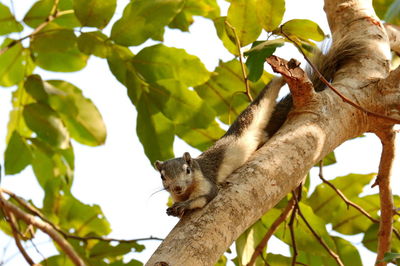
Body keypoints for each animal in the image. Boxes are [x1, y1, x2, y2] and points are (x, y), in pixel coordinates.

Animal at [155, 38, 368, 217]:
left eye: (187, 170)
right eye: (162, 177)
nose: (177, 188)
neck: (189, 187)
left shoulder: (206, 182)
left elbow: (206, 197)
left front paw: (185, 205)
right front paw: (174, 207)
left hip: (258, 108)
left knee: (270, 89)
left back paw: (283, 73)